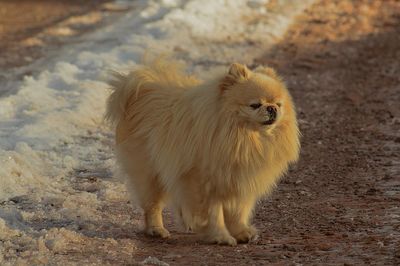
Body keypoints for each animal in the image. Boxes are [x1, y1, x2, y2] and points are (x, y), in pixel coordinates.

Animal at [106, 57, 300, 246]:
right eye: (255, 105)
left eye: (279, 104)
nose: (271, 108)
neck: (243, 138)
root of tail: (143, 91)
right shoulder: (203, 184)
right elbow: (213, 214)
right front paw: (220, 236)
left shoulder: (240, 180)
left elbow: (237, 211)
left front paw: (241, 233)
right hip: (151, 173)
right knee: (152, 204)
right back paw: (157, 230)